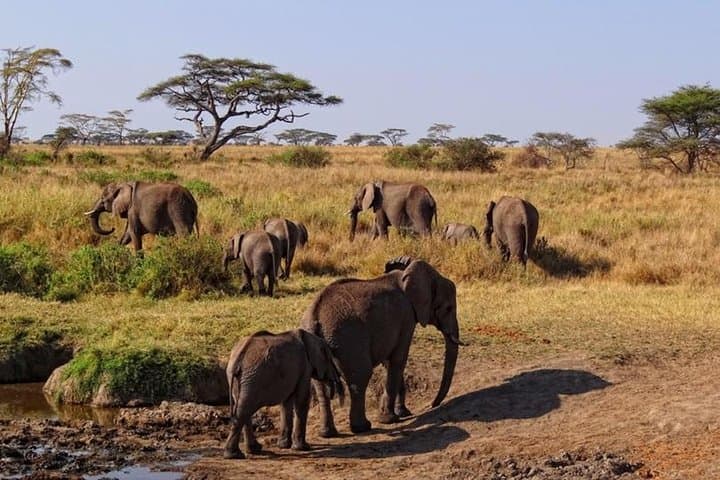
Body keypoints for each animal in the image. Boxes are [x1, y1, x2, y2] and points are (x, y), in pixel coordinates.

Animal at [224, 329, 344, 459]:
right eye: (329, 359)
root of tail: (238, 359)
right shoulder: (304, 367)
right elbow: (302, 399)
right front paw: (303, 448)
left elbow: (286, 403)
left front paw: (283, 446)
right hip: (253, 378)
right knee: (244, 410)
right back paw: (234, 455)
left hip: (240, 378)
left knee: (244, 409)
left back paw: (253, 450)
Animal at [301, 256, 461, 435]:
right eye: (448, 308)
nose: (432, 405)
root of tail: (314, 318)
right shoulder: (406, 316)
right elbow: (398, 359)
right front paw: (390, 419)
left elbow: (389, 361)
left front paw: (403, 413)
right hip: (348, 340)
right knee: (360, 378)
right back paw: (362, 427)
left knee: (321, 387)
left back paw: (328, 434)